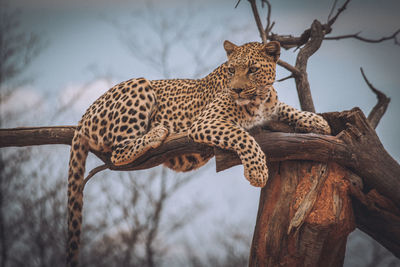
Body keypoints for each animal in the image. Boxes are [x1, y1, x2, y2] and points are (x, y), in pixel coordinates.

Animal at [67, 40, 332, 267]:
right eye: (231, 70)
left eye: (252, 69)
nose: (236, 90)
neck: (259, 98)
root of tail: (84, 115)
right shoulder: (206, 122)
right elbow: (243, 136)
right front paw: (257, 172)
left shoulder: (270, 106)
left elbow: (284, 107)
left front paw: (317, 121)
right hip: (139, 85)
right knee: (118, 151)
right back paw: (157, 132)